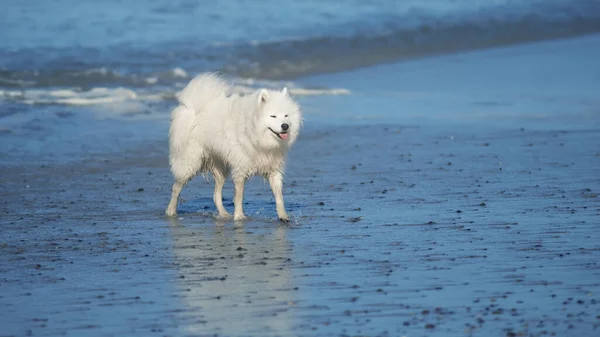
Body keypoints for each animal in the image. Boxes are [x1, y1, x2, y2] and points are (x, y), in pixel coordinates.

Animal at [164, 73, 302, 220]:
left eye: (286, 115)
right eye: (273, 116)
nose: (285, 126)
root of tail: (194, 111)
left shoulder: (273, 168)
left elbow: (279, 196)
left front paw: (283, 216)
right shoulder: (240, 169)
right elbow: (239, 196)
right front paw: (239, 216)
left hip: (221, 169)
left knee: (216, 195)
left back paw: (224, 214)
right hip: (191, 163)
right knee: (176, 187)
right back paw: (171, 211)